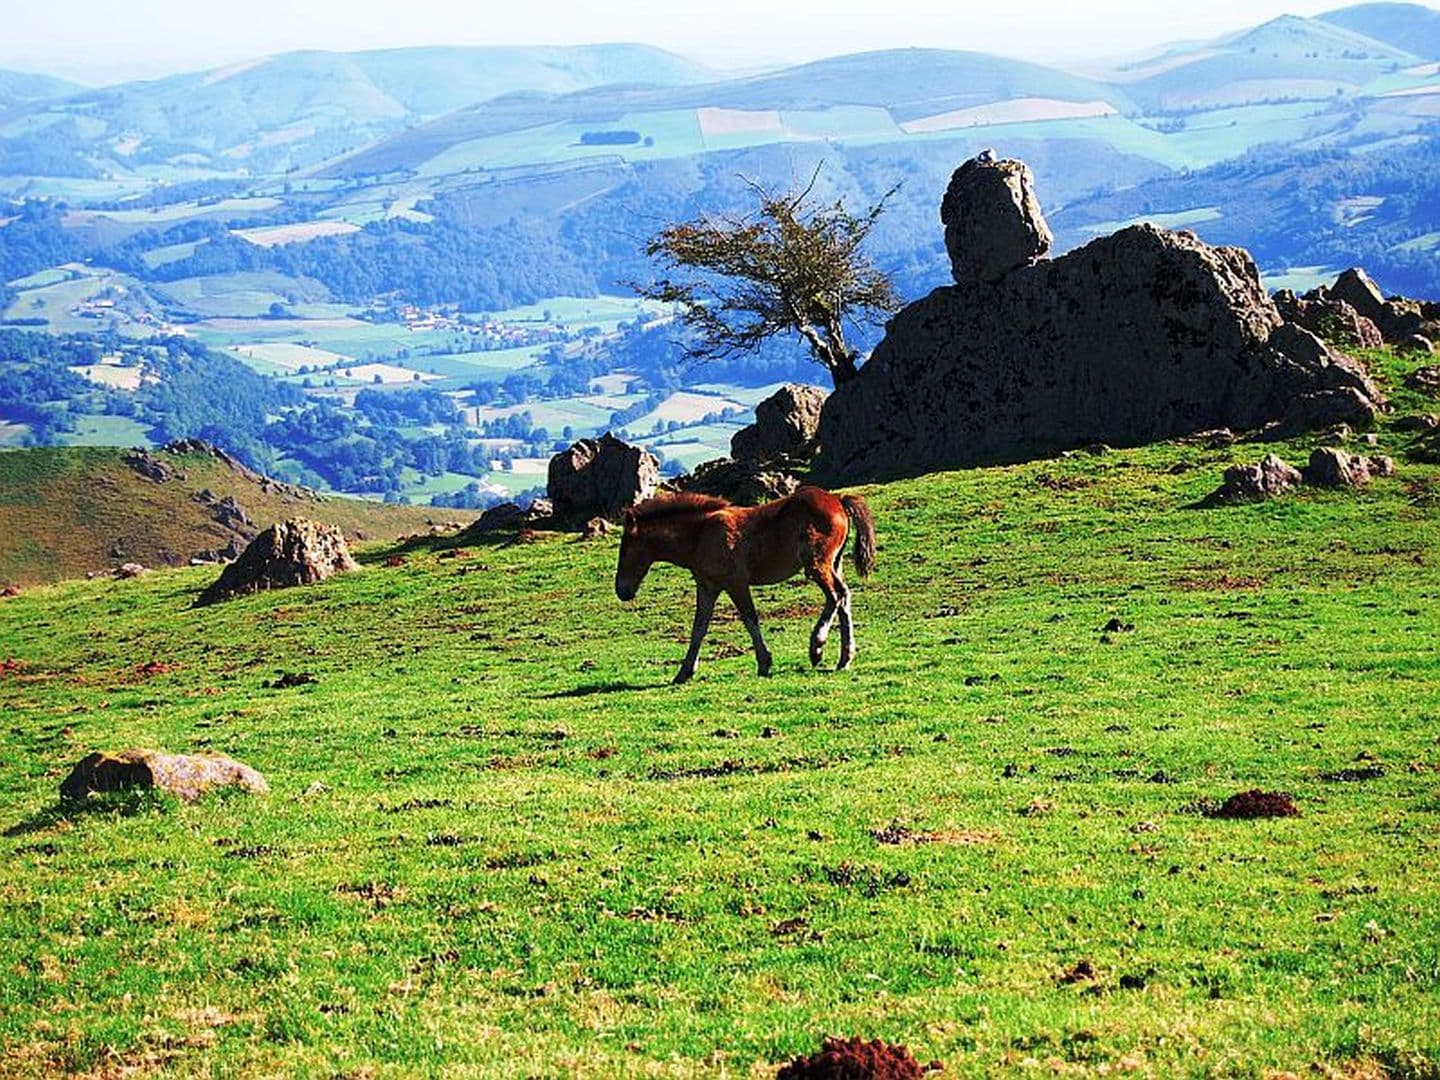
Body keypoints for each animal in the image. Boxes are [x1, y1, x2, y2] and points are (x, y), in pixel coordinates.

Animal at [614, 486, 877, 684]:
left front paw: (765, 662)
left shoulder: (736, 583)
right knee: (844, 598)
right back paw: (844, 659)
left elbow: (750, 618)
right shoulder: (708, 587)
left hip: (816, 564)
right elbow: (699, 627)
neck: (700, 534)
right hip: (835, 563)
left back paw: (817, 648)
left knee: (836, 596)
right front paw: (684, 672)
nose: (621, 590)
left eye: (625, 549)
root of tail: (838, 500)